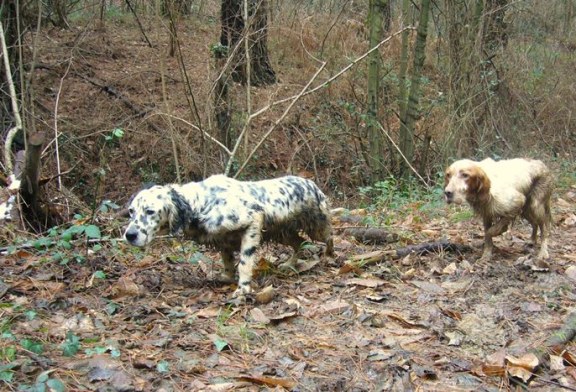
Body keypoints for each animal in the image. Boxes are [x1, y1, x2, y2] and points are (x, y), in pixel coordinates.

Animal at [124, 175, 336, 298]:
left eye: (150, 211)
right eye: (131, 211)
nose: (129, 235)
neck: (201, 203)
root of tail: (311, 183)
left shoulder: (253, 220)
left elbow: (244, 262)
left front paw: (243, 288)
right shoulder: (222, 240)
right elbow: (227, 261)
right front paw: (226, 277)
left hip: (317, 225)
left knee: (329, 238)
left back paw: (331, 258)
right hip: (282, 233)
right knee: (300, 242)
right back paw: (291, 264)